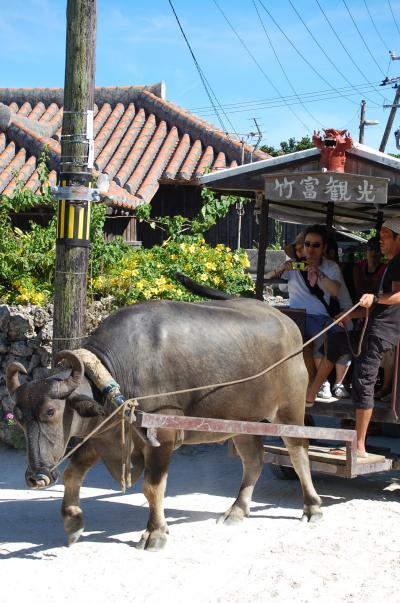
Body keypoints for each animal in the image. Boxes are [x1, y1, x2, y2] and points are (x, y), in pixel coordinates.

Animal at [5, 294, 322, 548]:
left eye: (50, 412)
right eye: (18, 417)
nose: (36, 477)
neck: (115, 381)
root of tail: (289, 323)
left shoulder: (162, 437)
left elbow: (152, 486)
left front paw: (155, 533)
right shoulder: (102, 436)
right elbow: (73, 474)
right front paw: (72, 522)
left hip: (289, 410)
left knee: (298, 452)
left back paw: (312, 507)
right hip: (241, 420)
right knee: (253, 459)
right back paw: (236, 510)